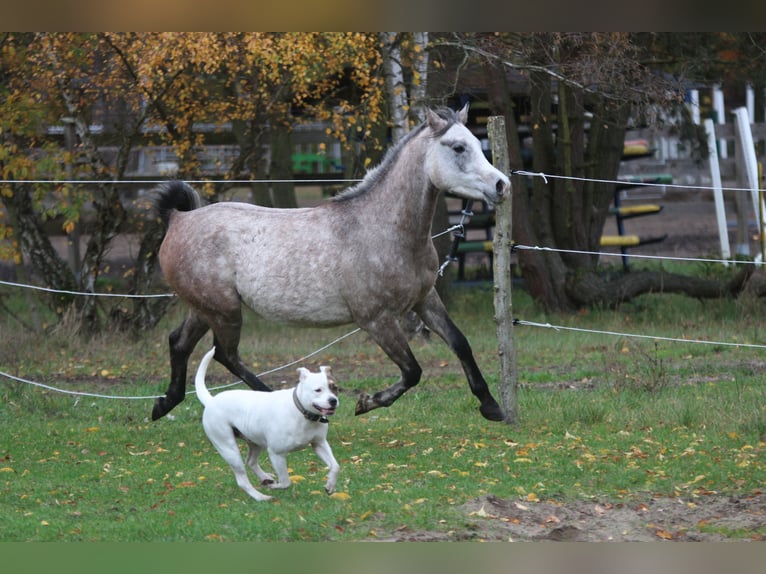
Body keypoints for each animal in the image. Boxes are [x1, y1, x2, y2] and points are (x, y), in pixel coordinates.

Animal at [152, 107, 510, 424]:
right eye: (458, 147)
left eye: (478, 142)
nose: (502, 185)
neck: (384, 229)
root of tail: (178, 219)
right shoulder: (376, 320)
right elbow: (412, 371)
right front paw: (367, 403)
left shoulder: (425, 300)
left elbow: (460, 344)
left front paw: (492, 406)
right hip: (225, 312)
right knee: (225, 354)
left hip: (206, 309)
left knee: (179, 342)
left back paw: (162, 405)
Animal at [195, 346, 342, 504]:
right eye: (318, 390)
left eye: (334, 387)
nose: (333, 400)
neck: (302, 413)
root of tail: (211, 401)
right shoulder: (277, 454)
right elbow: (285, 481)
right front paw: (275, 487)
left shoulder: (319, 444)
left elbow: (335, 466)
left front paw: (330, 485)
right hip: (229, 449)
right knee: (242, 480)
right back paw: (261, 496)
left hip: (255, 442)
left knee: (251, 461)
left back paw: (265, 478)